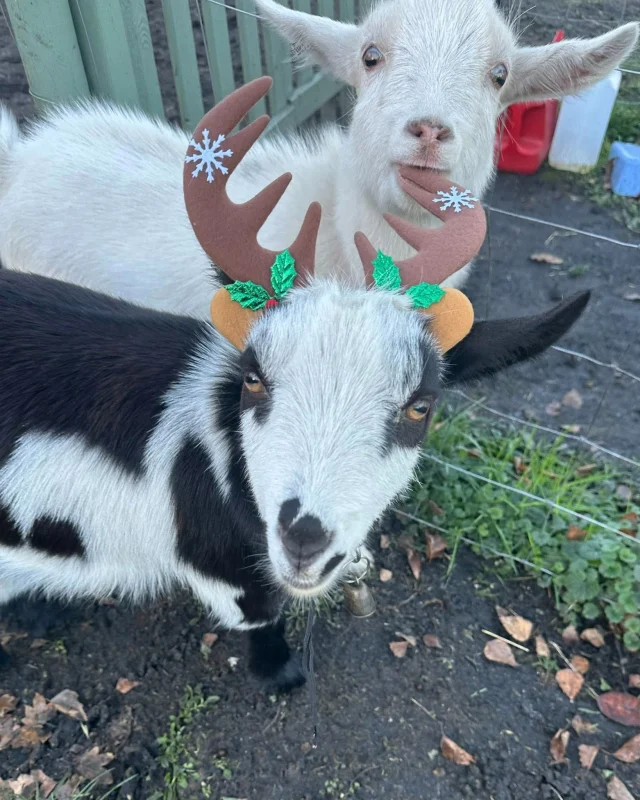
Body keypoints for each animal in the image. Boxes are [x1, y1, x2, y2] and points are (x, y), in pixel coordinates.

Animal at [0, 80, 590, 690]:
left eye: (421, 406)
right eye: (254, 379)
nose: (305, 540)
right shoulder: (228, 573)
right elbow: (261, 614)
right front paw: (281, 671)